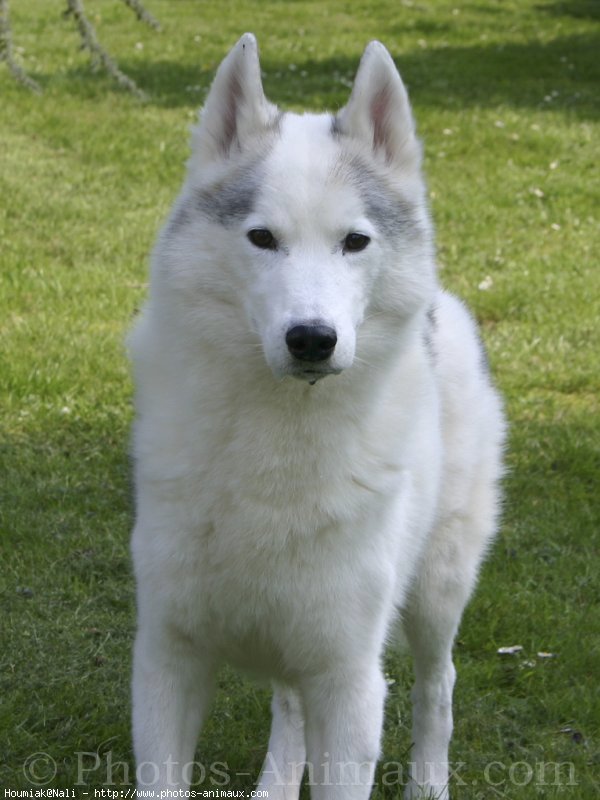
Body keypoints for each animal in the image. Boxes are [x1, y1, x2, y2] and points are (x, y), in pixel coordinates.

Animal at [130, 34, 506, 796]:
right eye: (261, 238)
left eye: (354, 242)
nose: (311, 338)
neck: (276, 442)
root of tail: (446, 304)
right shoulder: (167, 659)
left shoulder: (349, 681)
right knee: (290, 710)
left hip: (437, 590)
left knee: (438, 685)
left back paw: (429, 782)